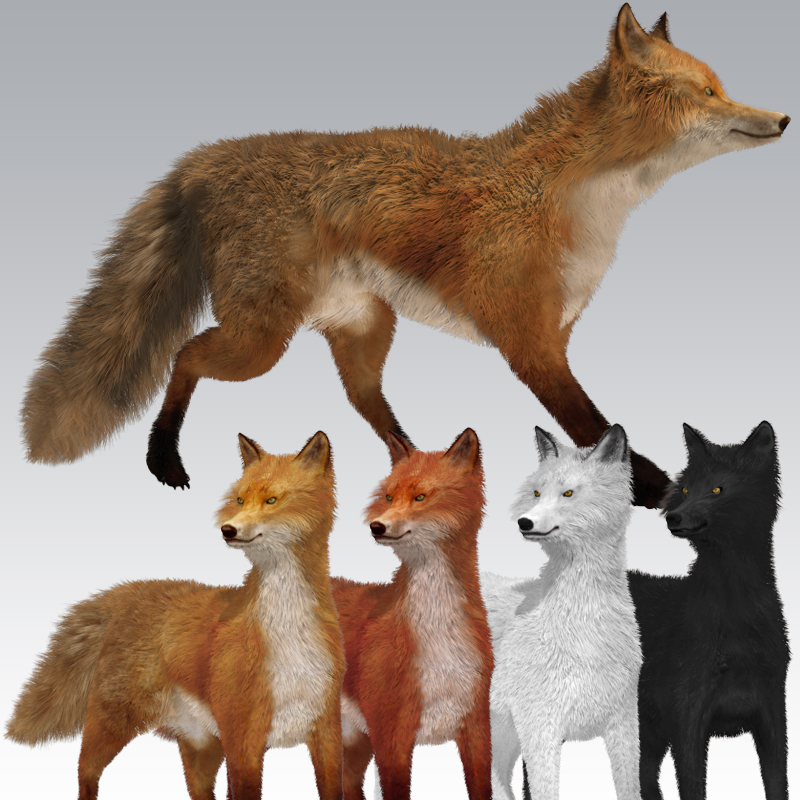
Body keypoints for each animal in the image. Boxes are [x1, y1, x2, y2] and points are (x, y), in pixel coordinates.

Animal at [5, 431, 346, 800]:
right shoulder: (242, 738)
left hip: (200, 746)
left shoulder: (326, 730)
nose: (228, 529)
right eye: (240, 500)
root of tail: (128, 590)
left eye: (271, 500)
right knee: (84, 770)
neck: (288, 638)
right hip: (113, 722)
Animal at [20, 5, 790, 507]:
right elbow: (596, 427)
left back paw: (414, 470)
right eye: (709, 92)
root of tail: (208, 159)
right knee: (185, 354)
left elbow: (590, 426)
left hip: (363, 328)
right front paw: (655, 488)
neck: (568, 200)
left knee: (365, 402)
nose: (783, 119)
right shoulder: (530, 343)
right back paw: (163, 454)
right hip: (260, 341)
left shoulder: (555, 335)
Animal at [329, 428, 493, 800]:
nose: (377, 526)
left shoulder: (475, 724)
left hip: (355, 741)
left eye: (420, 497)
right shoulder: (391, 734)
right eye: (389, 497)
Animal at [484, 425, 642, 800]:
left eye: (568, 493)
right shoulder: (539, 725)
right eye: (537, 493)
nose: (525, 522)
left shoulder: (624, 722)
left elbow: (630, 788)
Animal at [628, 422, 789, 800]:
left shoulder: (772, 710)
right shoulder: (687, 716)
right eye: (685, 488)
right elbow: (693, 786)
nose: (673, 517)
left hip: (649, 730)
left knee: (644, 778)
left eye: (717, 488)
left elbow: (778, 782)